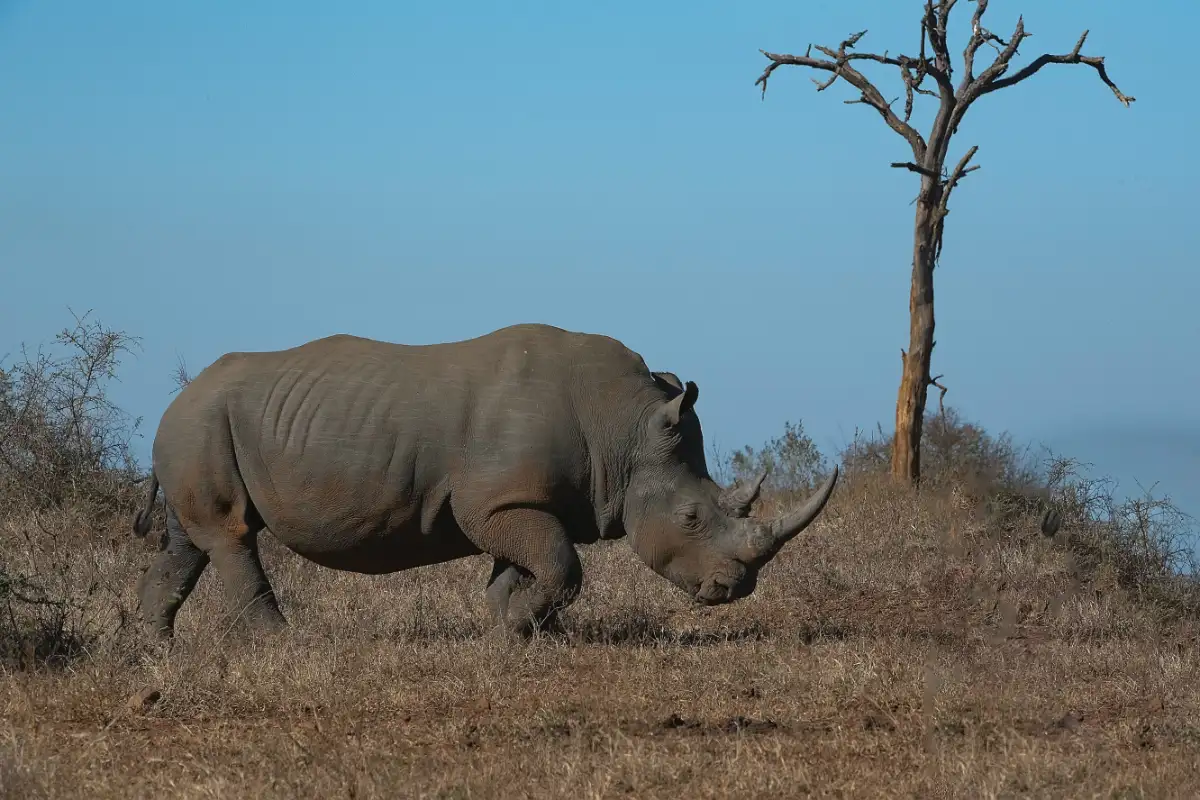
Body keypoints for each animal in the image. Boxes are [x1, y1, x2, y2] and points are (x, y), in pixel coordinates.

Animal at [131, 323, 839, 640]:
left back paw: (153, 653)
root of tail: (176, 398)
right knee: (229, 533)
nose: (733, 590)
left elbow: (524, 564)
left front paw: (516, 631)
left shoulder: (513, 497)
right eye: (692, 518)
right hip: (202, 421)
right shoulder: (494, 499)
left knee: (188, 541)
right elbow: (560, 565)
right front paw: (524, 625)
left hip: (199, 426)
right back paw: (281, 646)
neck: (625, 429)